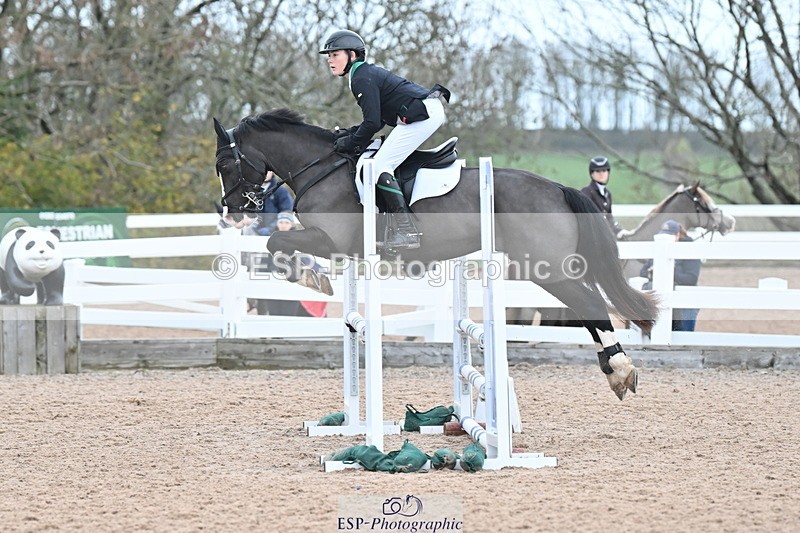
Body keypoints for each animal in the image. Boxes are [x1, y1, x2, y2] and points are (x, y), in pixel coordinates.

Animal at [212, 108, 659, 400]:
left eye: (224, 164)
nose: (231, 211)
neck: (321, 167)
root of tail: (557, 188)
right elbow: (277, 244)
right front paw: (312, 277)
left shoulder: (330, 240)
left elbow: (276, 243)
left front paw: (311, 277)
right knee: (588, 306)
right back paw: (616, 370)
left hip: (549, 269)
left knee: (590, 304)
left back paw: (620, 371)